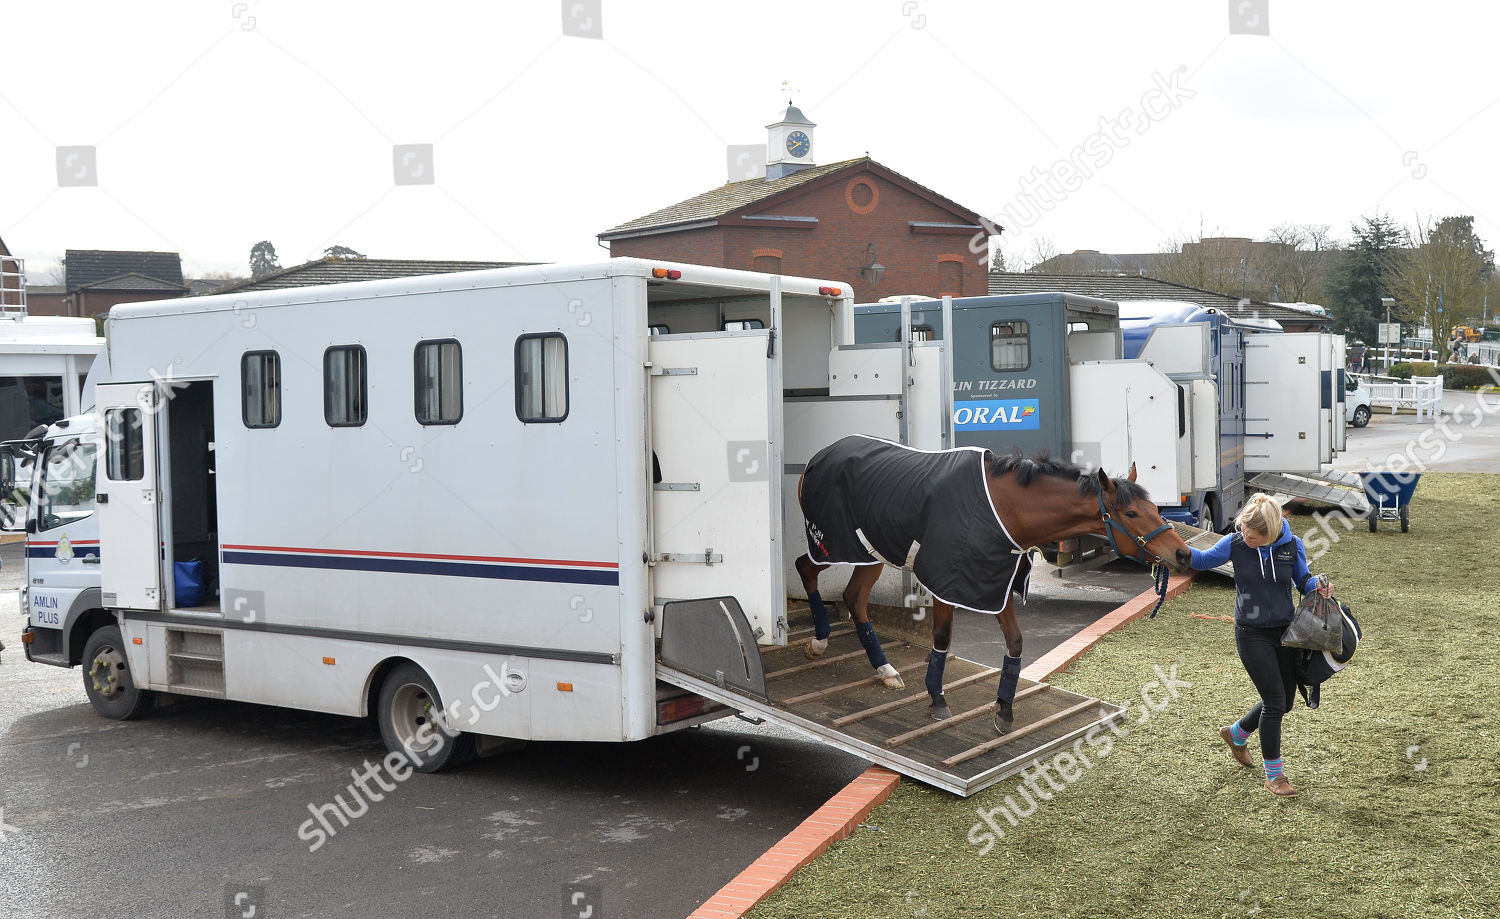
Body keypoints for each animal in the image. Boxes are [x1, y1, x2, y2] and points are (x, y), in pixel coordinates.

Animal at [794, 435, 1193, 734]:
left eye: (1155, 508)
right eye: (1131, 513)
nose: (1183, 553)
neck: (1003, 507)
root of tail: (818, 456)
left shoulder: (995, 582)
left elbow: (1015, 642)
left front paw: (1004, 709)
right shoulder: (948, 581)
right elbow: (942, 638)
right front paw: (938, 699)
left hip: (872, 553)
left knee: (854, 598)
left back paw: (884, 669)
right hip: (836, 544)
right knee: (807, 569)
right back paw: (820, 641)